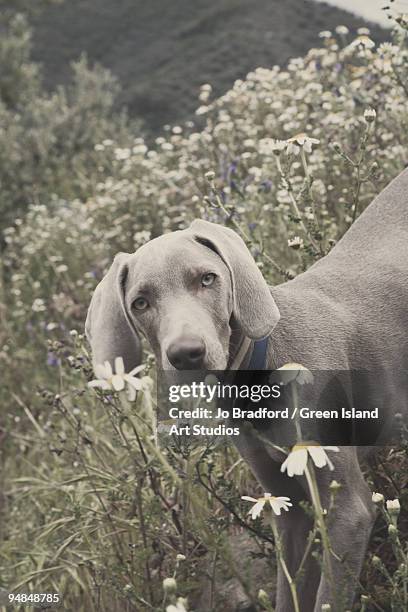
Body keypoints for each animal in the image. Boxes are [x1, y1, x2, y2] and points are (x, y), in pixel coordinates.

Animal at [86, 167, 408, 612]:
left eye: (208, 279)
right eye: (140, 303)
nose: (187, 354)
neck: (260, 375)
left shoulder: (349, 513)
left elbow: (329, 596)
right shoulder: (288, 510)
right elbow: (289, 591)